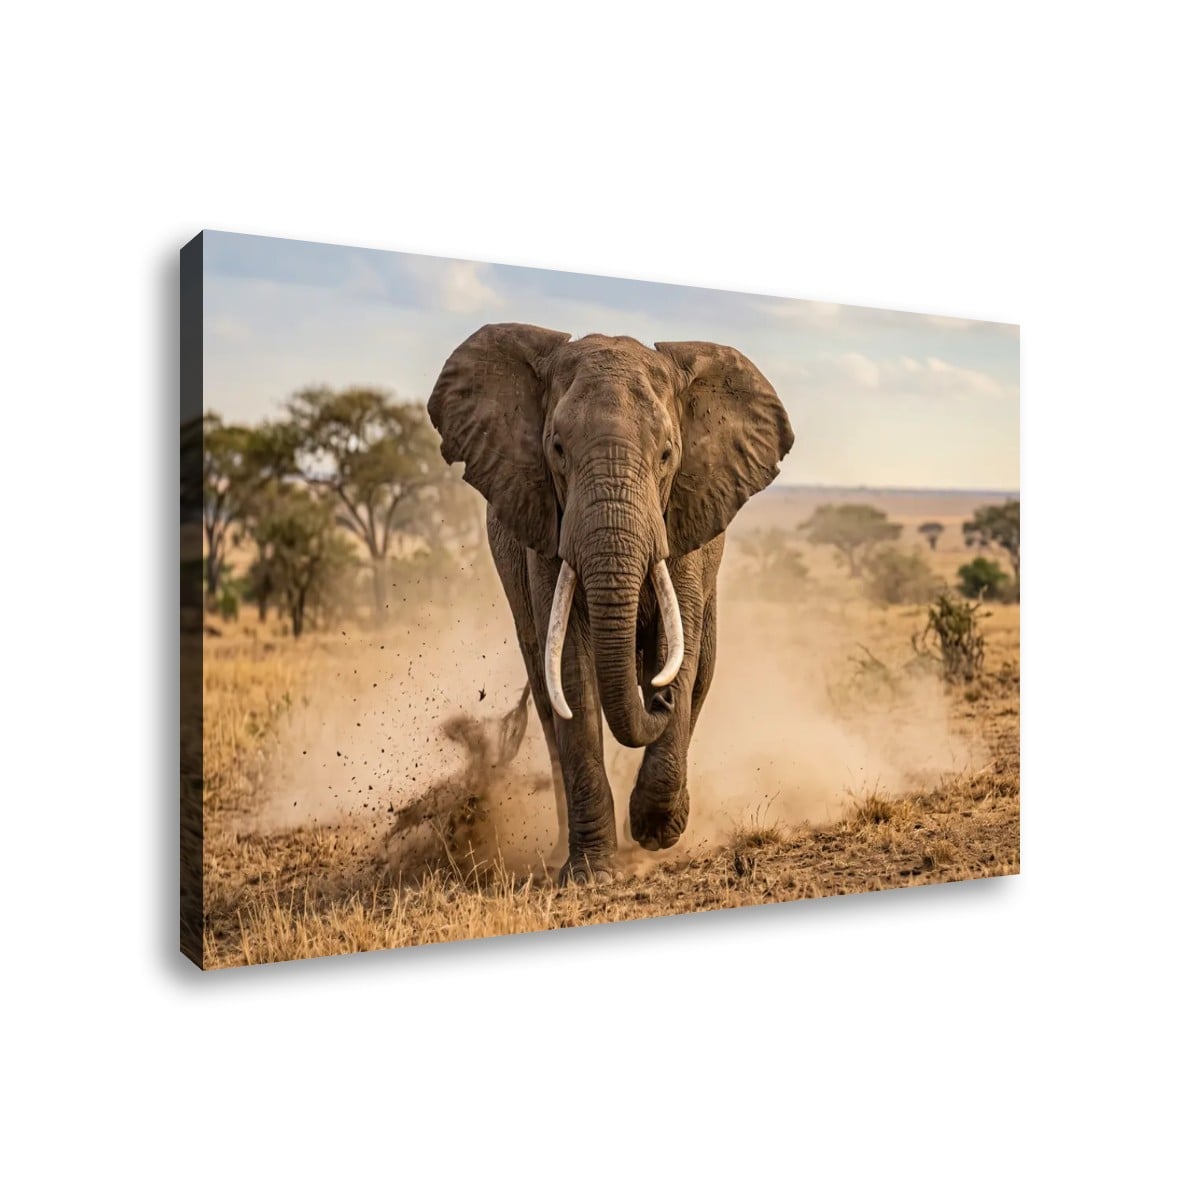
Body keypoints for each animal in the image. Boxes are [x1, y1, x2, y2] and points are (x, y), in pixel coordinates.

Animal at [427, 324, 794, 884]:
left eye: (667, 455)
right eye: (557, 449)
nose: (657, 701)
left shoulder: (682, 523)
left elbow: (679, 650)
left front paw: (654, 832)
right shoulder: (547, 528)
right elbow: (572, 675)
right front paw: (590, 874)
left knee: (701, 667)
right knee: (546, 693)